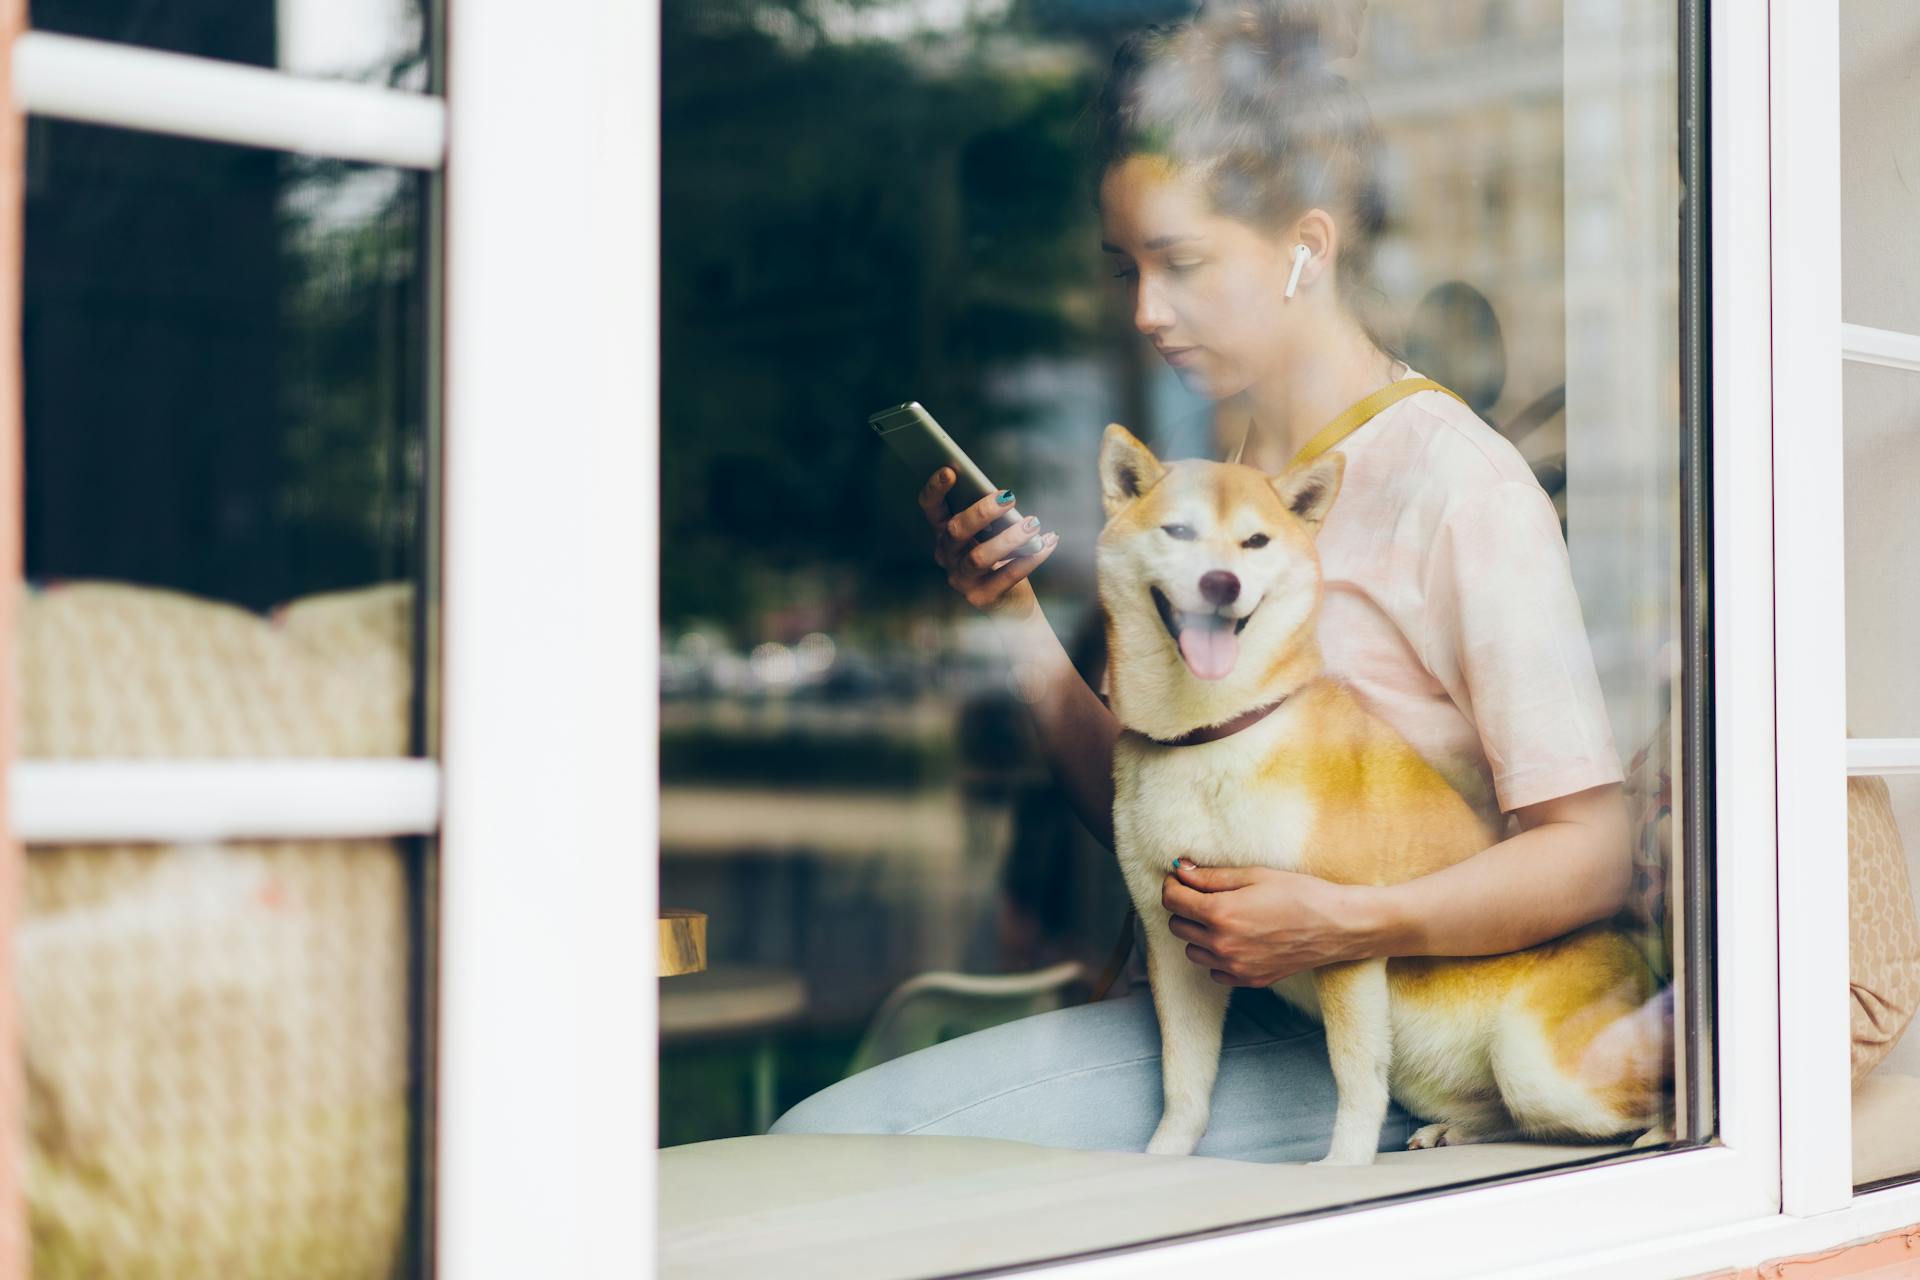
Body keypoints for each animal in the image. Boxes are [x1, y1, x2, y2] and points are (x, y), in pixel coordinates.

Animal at [1098, 426, 1666, 1166]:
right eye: (1179, 530)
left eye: (1256, 542)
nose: (1222, 582)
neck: (1210, 734)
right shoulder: (1172, 945)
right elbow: (1184, 1085)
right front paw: (1163, 1159)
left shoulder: (1337, 938)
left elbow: (1356, 1079)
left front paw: (1343, 1167)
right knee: (1515, 1118)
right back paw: (1459, 1131)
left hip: (1537, 1062)